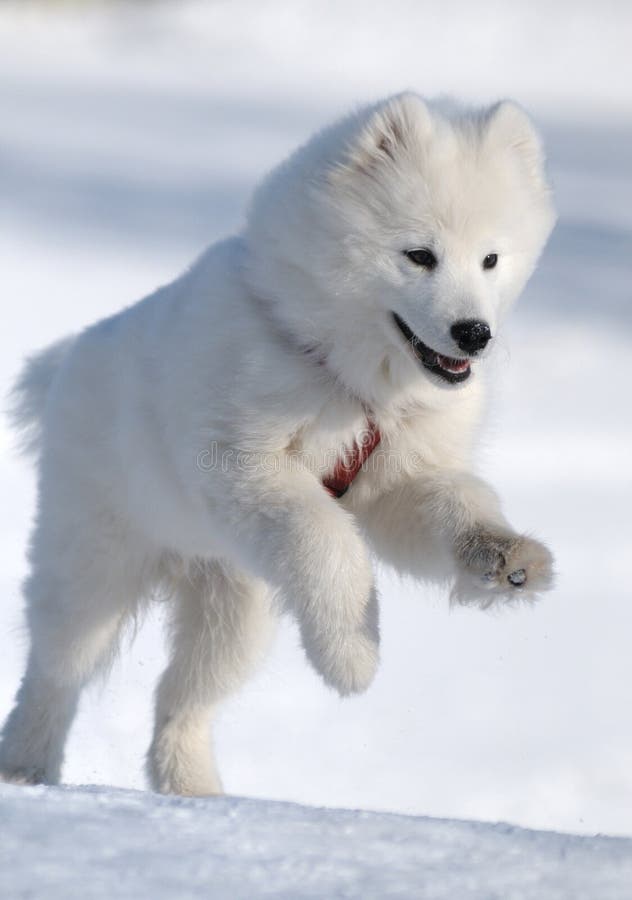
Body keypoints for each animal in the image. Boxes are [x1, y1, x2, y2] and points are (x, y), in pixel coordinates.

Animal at [0, 91, 552, 796]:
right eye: (419, 255)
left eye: (491, 259)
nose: (474, 333)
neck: (348, 376)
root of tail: (65, 365)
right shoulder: (247, 464)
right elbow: (326, 541)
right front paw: (353, 659)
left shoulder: (399, 476)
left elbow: (447, 507)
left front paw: (508, 560)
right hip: (97, 557)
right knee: (57, 667)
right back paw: (25, 768)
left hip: (235, 600)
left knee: (184, 696)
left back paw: (195, 793)